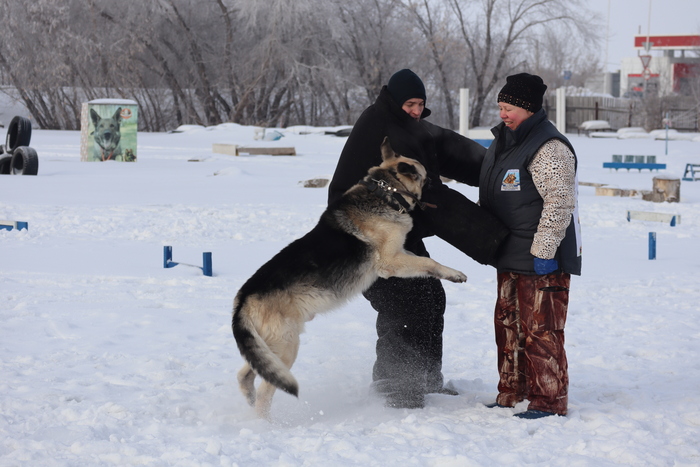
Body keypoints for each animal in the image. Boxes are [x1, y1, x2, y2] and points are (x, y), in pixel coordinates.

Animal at [231, 137, 467, 418]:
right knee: (266, 392)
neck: (385, 192)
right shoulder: (390, 262)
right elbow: (428, 262)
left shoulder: (401, 254)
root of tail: (243, 299)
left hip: (269, 348)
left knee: (246, 374)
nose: (437, 180)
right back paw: (264, 423)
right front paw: (454, 273)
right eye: (425, 175)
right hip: (286, 347)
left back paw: (248, 397)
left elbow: (424, 262)